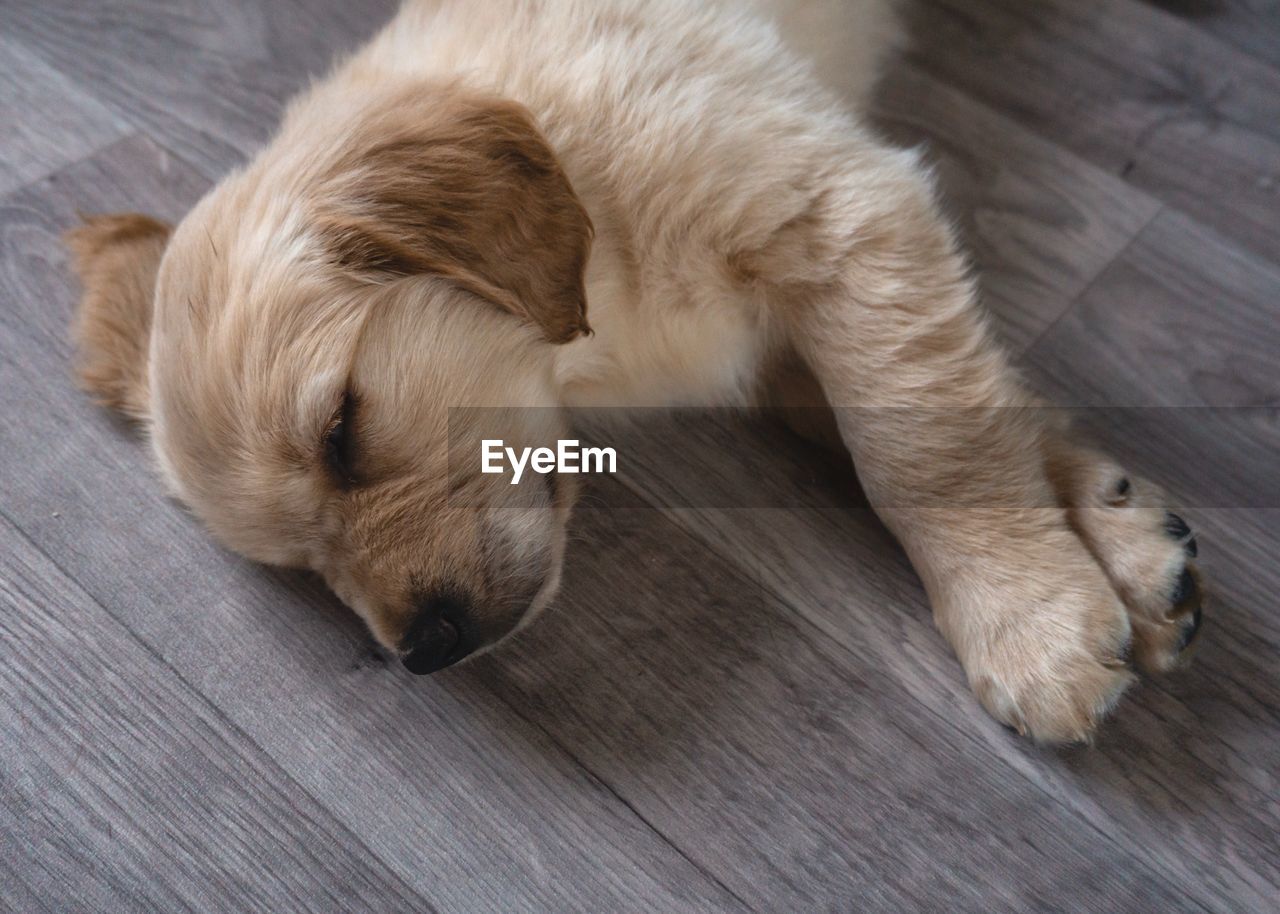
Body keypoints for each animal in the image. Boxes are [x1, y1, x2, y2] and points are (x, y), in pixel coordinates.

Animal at [64, 0, 1203, 742]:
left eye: (340, 431)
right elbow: (932, 397)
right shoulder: (792, 324)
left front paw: (1023, 616)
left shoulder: (842, 210)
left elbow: (922, 441)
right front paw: (1110, 536)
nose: (426, 648)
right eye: (302, 568)